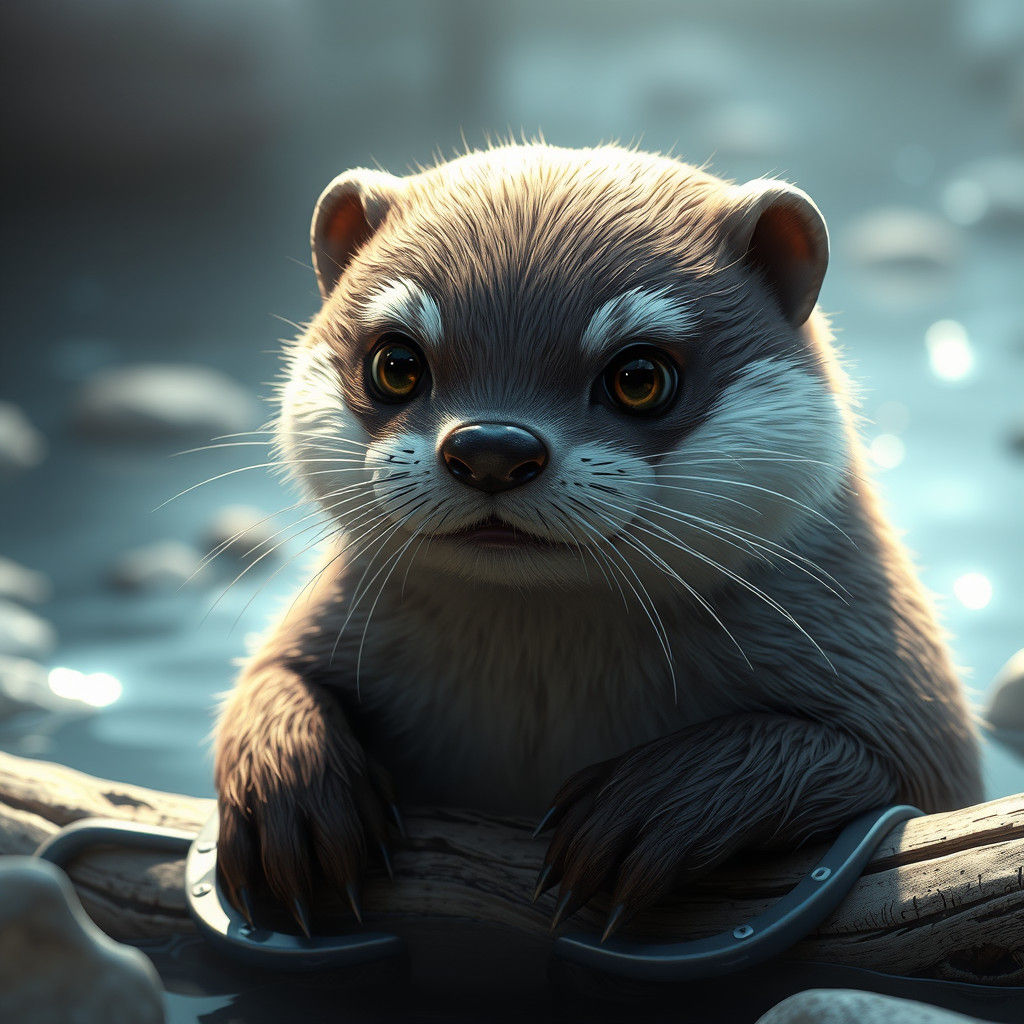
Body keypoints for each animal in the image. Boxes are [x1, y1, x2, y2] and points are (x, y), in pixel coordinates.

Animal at [213, 144, 981, 939]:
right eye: (396, 363)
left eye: (638, 376)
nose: (491, 448)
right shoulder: (319, 628)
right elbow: (264, 686)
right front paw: (291, 801)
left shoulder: (900, 701)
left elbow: (850, 760)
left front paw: (640, 816)